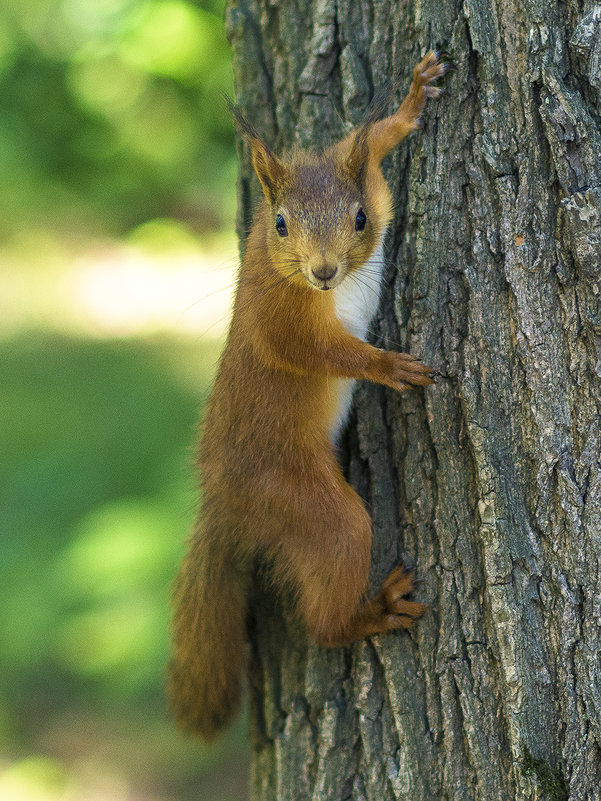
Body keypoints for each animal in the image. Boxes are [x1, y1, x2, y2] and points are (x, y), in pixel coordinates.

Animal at [168, 50, 446, 736]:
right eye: (280, 224)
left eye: (360, 219)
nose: (322, 272)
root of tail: (226, 503)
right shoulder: (278, 321)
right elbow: (319, 353)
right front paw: (384, 365)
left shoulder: (368, 179)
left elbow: (367, 143)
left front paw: (411, 100)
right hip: (301, 502)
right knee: (323, 612)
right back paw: (370, 613)